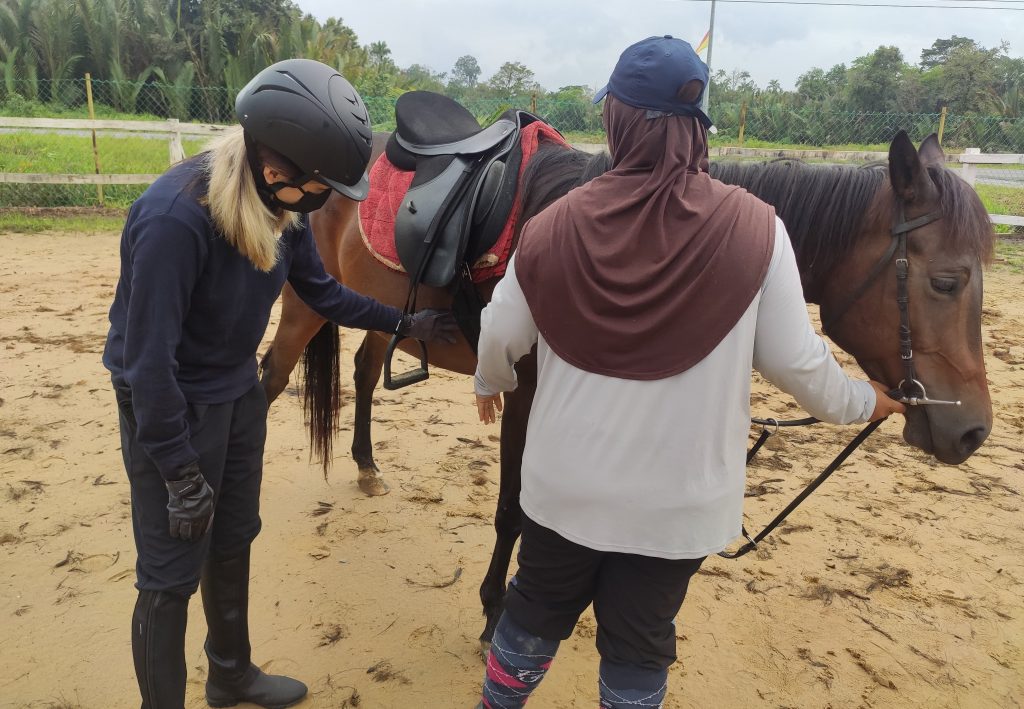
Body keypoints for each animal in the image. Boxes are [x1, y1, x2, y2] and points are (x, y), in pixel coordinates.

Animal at [260, 130, 995, 651]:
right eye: (947, 281)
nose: (973, 430)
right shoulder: (526, 394)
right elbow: (514, 511)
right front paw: (497, 613)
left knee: (361, 371)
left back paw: (366, 466)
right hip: (303, 304)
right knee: (269, 377)